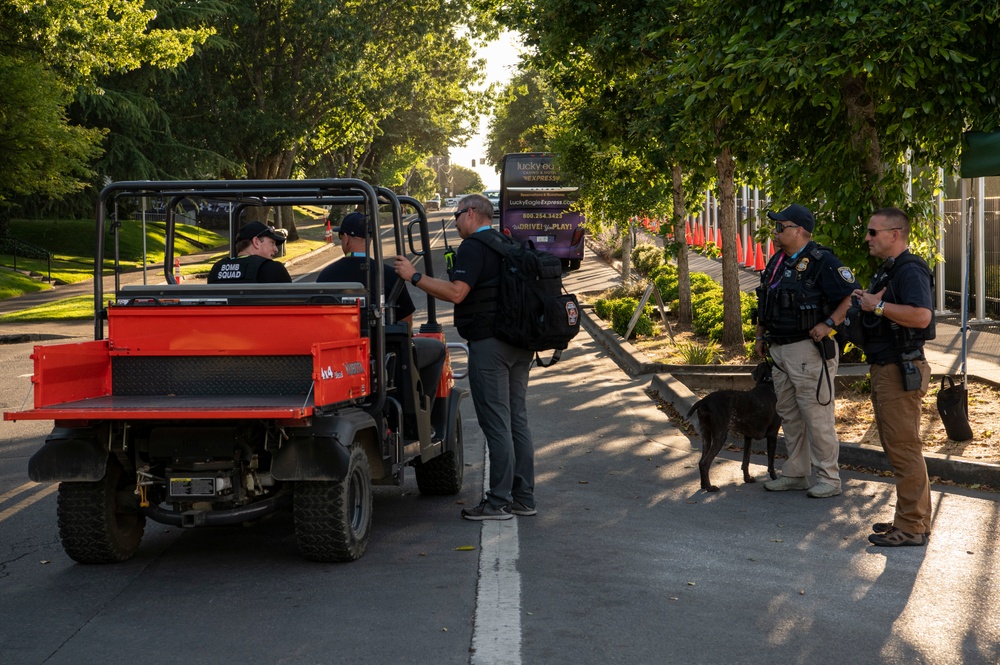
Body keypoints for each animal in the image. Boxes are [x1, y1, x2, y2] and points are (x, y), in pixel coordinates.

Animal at [684, 360, 784, 490]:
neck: (768, 382)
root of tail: (705, 400)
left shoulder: (748, 437)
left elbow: (746, 461)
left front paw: (747, 479)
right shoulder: (773, 435)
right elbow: (771, 464)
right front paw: (775, 479)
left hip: (706, 435)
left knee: (701, 461)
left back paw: (704, 485)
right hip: (720, 436)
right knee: (705, 463)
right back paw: (710, 488)